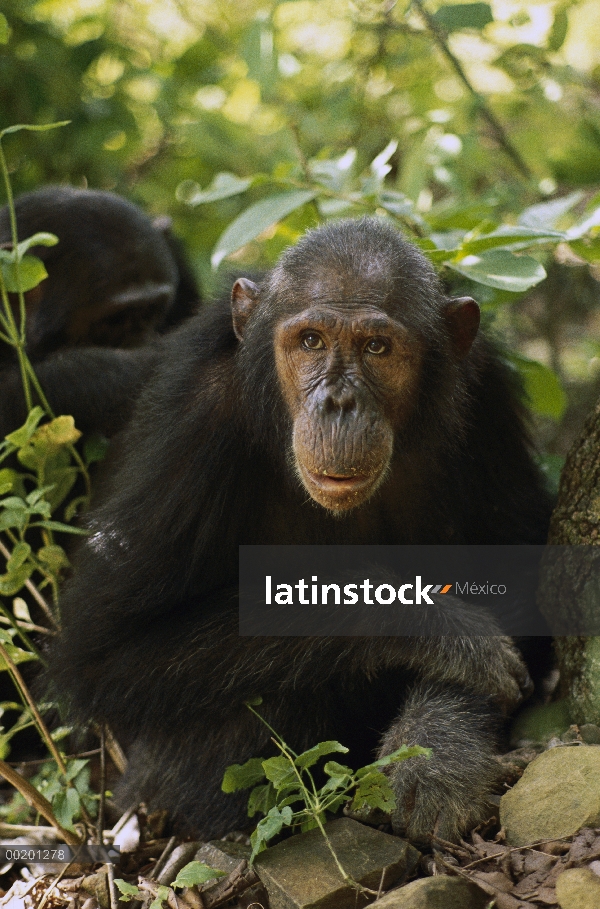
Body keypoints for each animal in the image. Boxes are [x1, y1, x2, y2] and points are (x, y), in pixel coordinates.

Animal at [49, 216, 556, 840]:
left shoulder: (487, 390)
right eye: (311, 340)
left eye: (377, 347)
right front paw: (436, 629)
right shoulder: (188, 425)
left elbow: (515, 560)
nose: (338, 401)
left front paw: (437, 751)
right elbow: (109, 652)